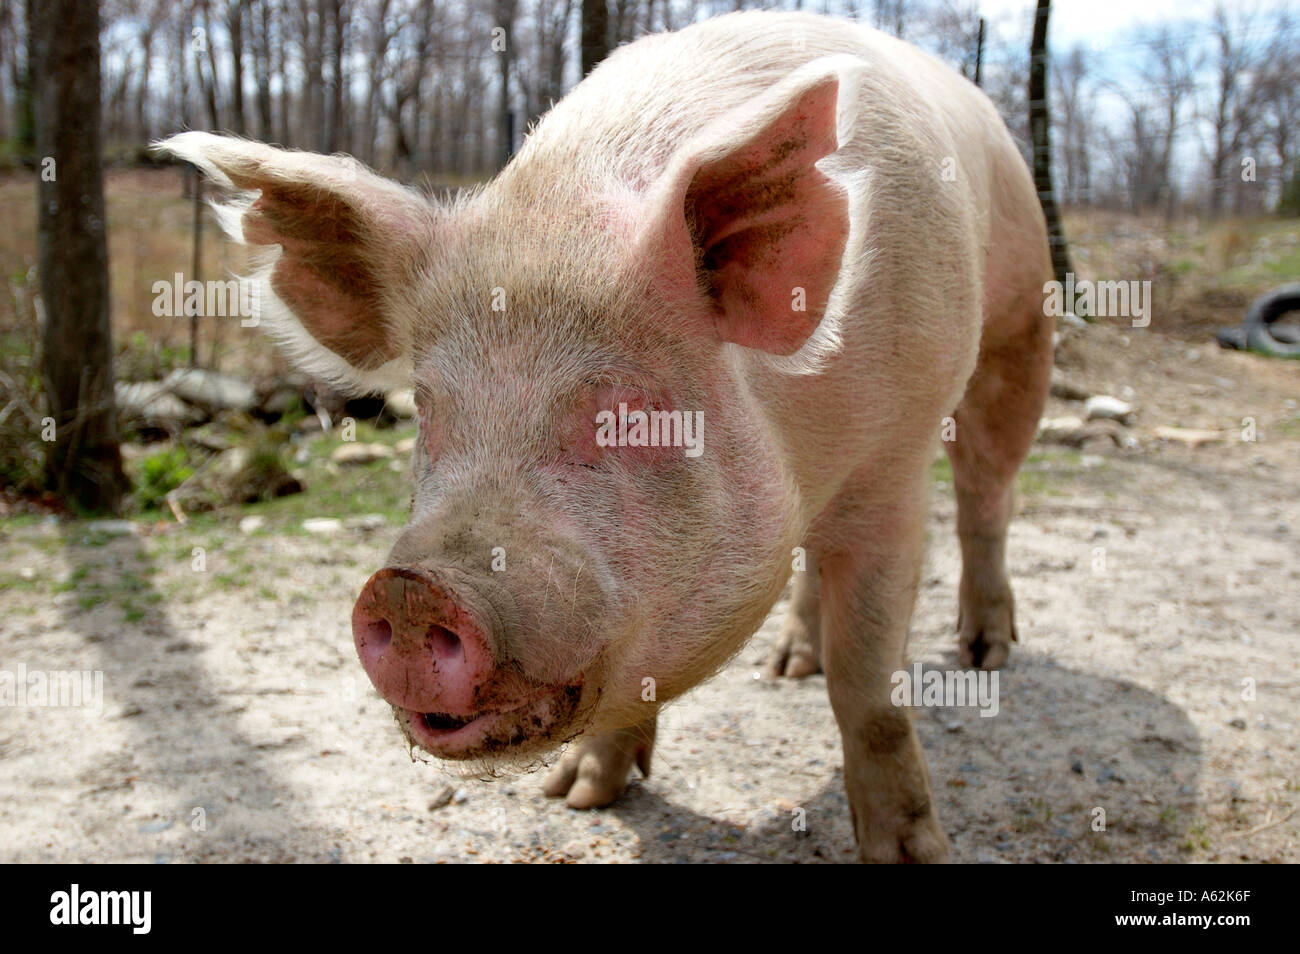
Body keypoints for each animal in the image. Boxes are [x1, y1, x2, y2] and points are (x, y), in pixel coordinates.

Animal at [159, 11, 1055, 868]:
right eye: (430, 408)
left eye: (627, 413)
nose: (412, 591)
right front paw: (578, 797)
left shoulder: (894, 466)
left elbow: (867, 688)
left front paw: (913, 853)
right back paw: (789, 665)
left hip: (1020, 321)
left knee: (986, 491)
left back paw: (985, 654)